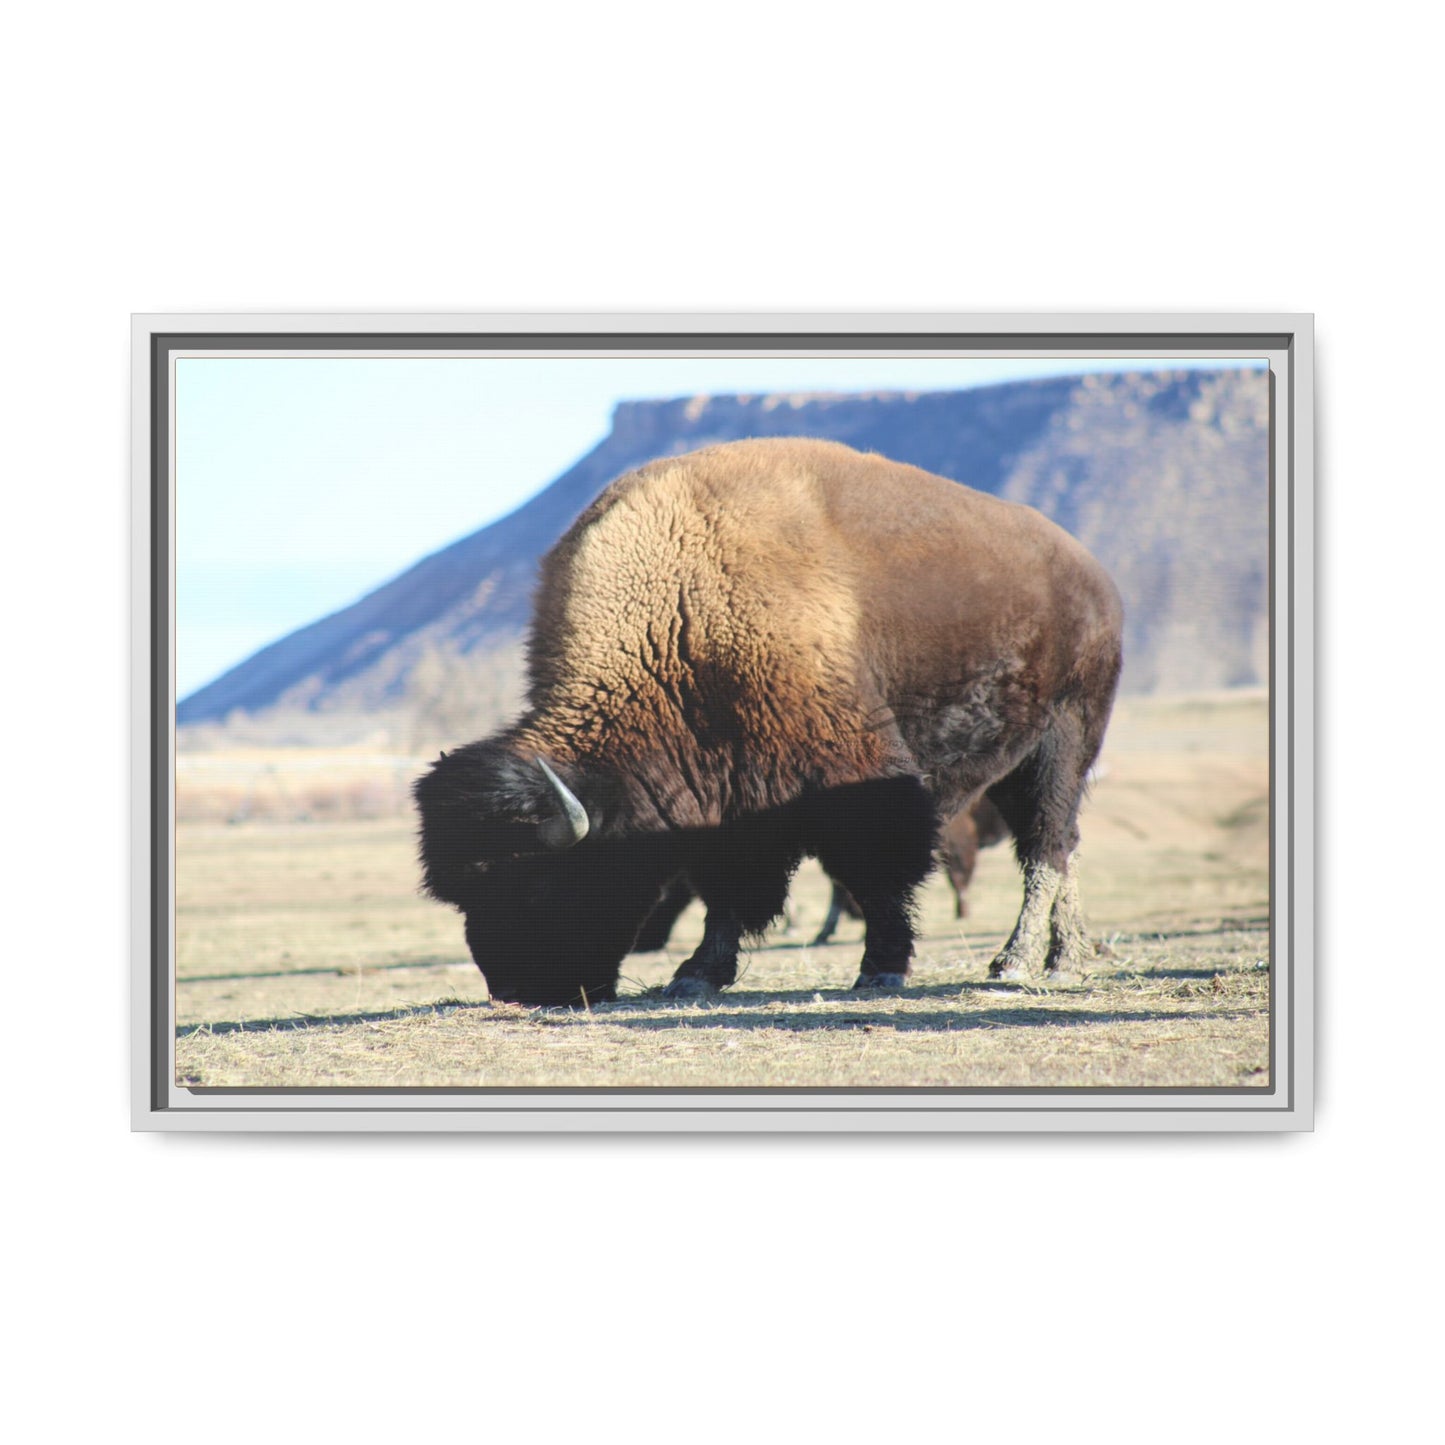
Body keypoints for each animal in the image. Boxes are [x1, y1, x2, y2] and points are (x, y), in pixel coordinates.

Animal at [414, 437, 1123, 1006]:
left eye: (535, 882)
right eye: (464, 896)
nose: (518, 989)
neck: (679, 615)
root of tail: (1093, 576)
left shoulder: (855, 777)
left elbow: (878, 873)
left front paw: (881, 969)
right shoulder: (726, 801)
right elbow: (728, 890)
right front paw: (695, 975)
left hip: (1064, 740)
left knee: (1046, 846)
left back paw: (1021, 963)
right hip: (1016, 762)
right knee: (1059, 846)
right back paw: (1065, 957)